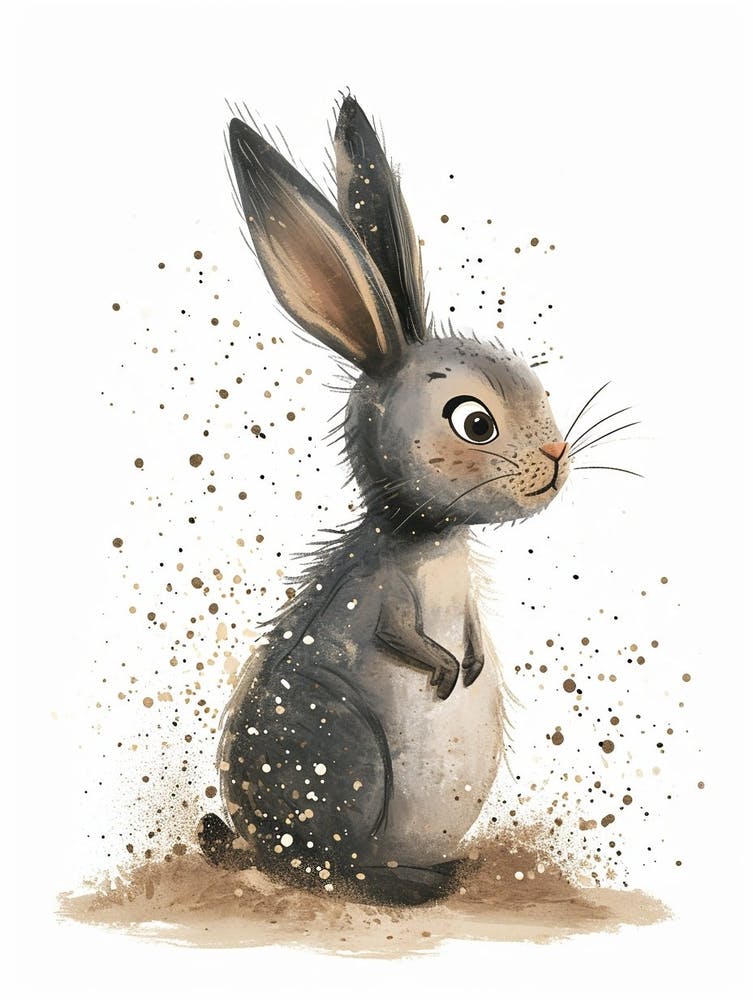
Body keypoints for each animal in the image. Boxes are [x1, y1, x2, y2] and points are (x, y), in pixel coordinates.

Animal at [198, 96, 571, 906]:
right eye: (474, 421)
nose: (558, 459)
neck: (428, 537)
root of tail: (251, 842)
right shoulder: (383, 597)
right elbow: (401, 636)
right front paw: (447, 672)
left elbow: (468, 632)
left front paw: (470, 665)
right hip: (350, 757)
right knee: (334, 869)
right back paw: (415, 884)